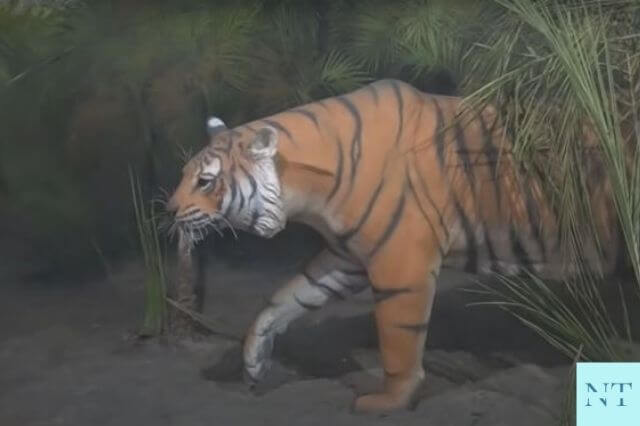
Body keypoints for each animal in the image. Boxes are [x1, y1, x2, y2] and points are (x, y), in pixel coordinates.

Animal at [165, 79, 620, 412]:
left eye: (205, 181)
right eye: (184, 173)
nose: (169, 210)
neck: (305, 189)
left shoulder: (400, 263)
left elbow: (397, 338)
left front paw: (388, 401)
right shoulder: (346, 257)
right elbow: (283, 299)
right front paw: (254, 364)